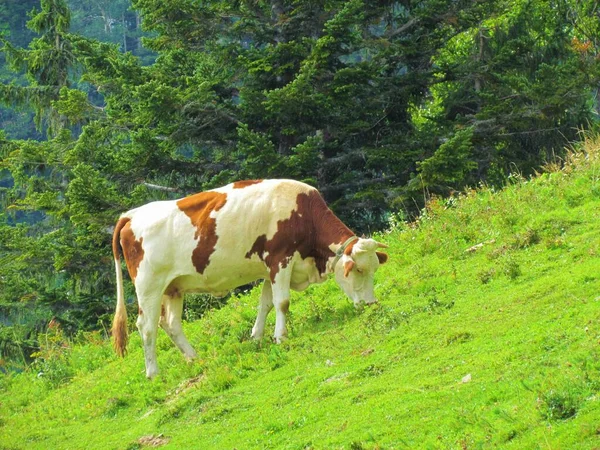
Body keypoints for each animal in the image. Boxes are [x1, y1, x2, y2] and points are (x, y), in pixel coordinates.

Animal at [112, 178, 390, 378]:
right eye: (359, 270)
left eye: (374, 269)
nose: (372, 304)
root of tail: (131, 214)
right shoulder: (281, 259)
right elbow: (282, 303)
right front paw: (280, 337)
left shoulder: (269, 268)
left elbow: (265, 304)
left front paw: (256, 336)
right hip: (149, 286)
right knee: (146, 326)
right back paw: (153, 373)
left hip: (172, 287)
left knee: (170, 323)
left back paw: (195, 358)